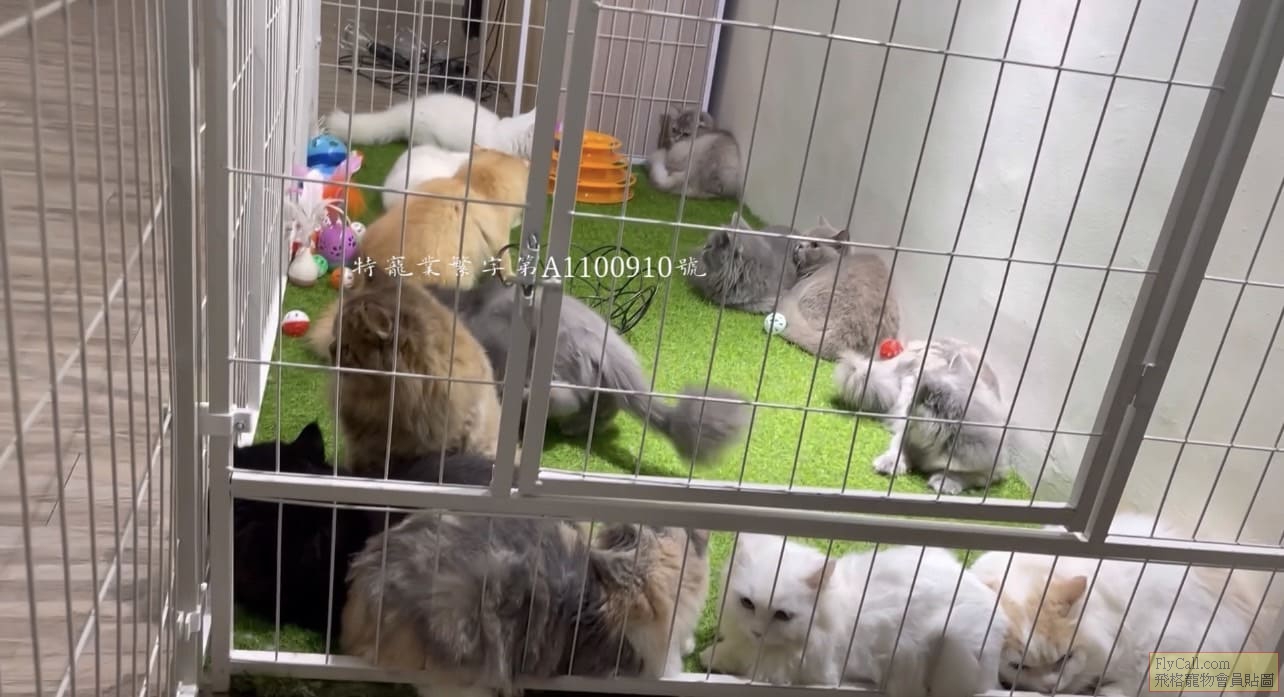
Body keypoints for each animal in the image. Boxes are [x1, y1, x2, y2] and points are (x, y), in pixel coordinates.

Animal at [427, 279, 754, 465]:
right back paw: (574, 427)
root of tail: (605, 345)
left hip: (553, 366)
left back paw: (532, 403)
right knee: (604, 410)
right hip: (602, 388)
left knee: (566, 399)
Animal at [703, 535, 1007, 697]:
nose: (757, 631)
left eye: (782, 615)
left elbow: (741, 659)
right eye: (747, 603)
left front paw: (709, 657)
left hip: (950, 644)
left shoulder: (797, 668)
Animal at [832, 337, 1011, 495]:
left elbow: (962, 475)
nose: (908, 406)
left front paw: (944, 483)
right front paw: (888, 464)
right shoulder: (905, 435)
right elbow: (898, 450)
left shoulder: (990, 470)